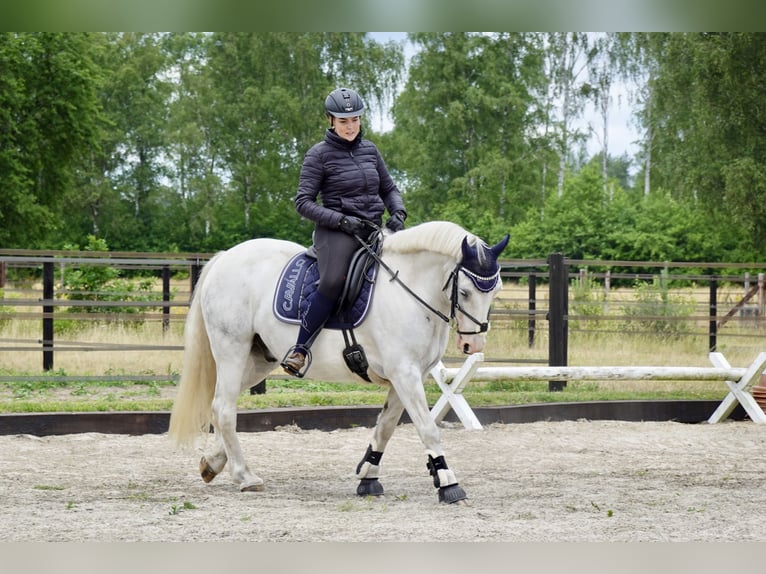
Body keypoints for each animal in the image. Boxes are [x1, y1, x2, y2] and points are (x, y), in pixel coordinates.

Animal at [171, 220, 512, 504]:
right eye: (464, 292)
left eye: (495, 289)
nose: (472, 344)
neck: (411, 292)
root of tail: (225, 258)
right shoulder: (405, 373)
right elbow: (428, 429)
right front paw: (448, 483)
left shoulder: (406, 376)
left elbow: (385, 426)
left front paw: (368, 477)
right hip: (232, 348)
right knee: (224, 408)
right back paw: (245, 476)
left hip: (258, 360)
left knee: (220, 404)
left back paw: (213, 463)